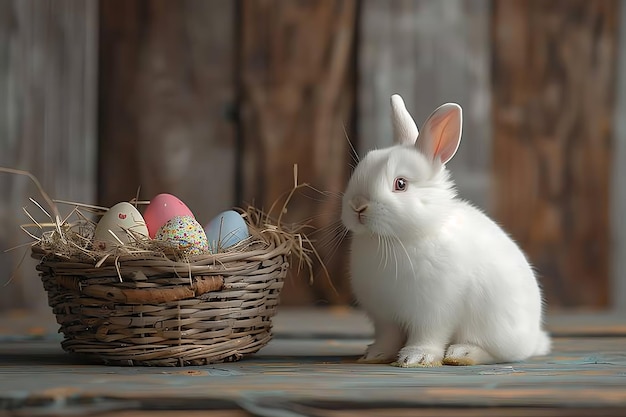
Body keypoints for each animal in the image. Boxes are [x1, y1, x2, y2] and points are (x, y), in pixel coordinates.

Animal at [338, 95, 548, 368]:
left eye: (401, 184)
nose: (357, 205)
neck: (397, 239)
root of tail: (534, 339)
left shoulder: (433, 311)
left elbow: (428, 335)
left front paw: (416, 357)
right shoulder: (384, 316)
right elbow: (387, 337)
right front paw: (375, 355)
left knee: (500, 354)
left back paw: (462, 354)